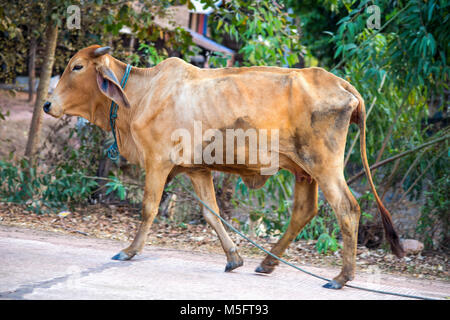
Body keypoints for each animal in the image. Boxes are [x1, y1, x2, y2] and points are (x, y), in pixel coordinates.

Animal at [44, 44, 404, 290]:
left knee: (347, 209)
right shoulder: (197, 169)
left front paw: (129, 251)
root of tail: (342, 84)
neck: (140, 95)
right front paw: (234, 257)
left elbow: (148, 208)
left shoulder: (158, 163)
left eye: (77, 66)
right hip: (305, 170)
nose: (47, 104)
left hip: (325, 165)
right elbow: (211, 213)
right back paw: (267, 263)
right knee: (304, 211)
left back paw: (341, 277)